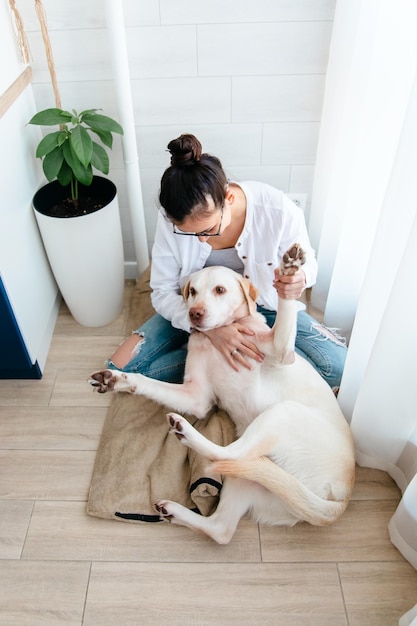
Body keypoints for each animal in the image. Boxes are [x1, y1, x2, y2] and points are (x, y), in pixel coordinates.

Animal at [90, 244, 354, 540]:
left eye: (219, 290)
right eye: (193, 291)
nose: (194, 313)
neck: (218, 335)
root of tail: (339, 501)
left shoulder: (281, 351)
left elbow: (285, 310)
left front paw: (290, 269)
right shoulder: (196, 396)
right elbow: (149, 384)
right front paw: (118, 381)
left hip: (283, 414)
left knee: (229, 455)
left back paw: (185, 432)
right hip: (254, 477)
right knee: (221, 528)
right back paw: (175, 510)